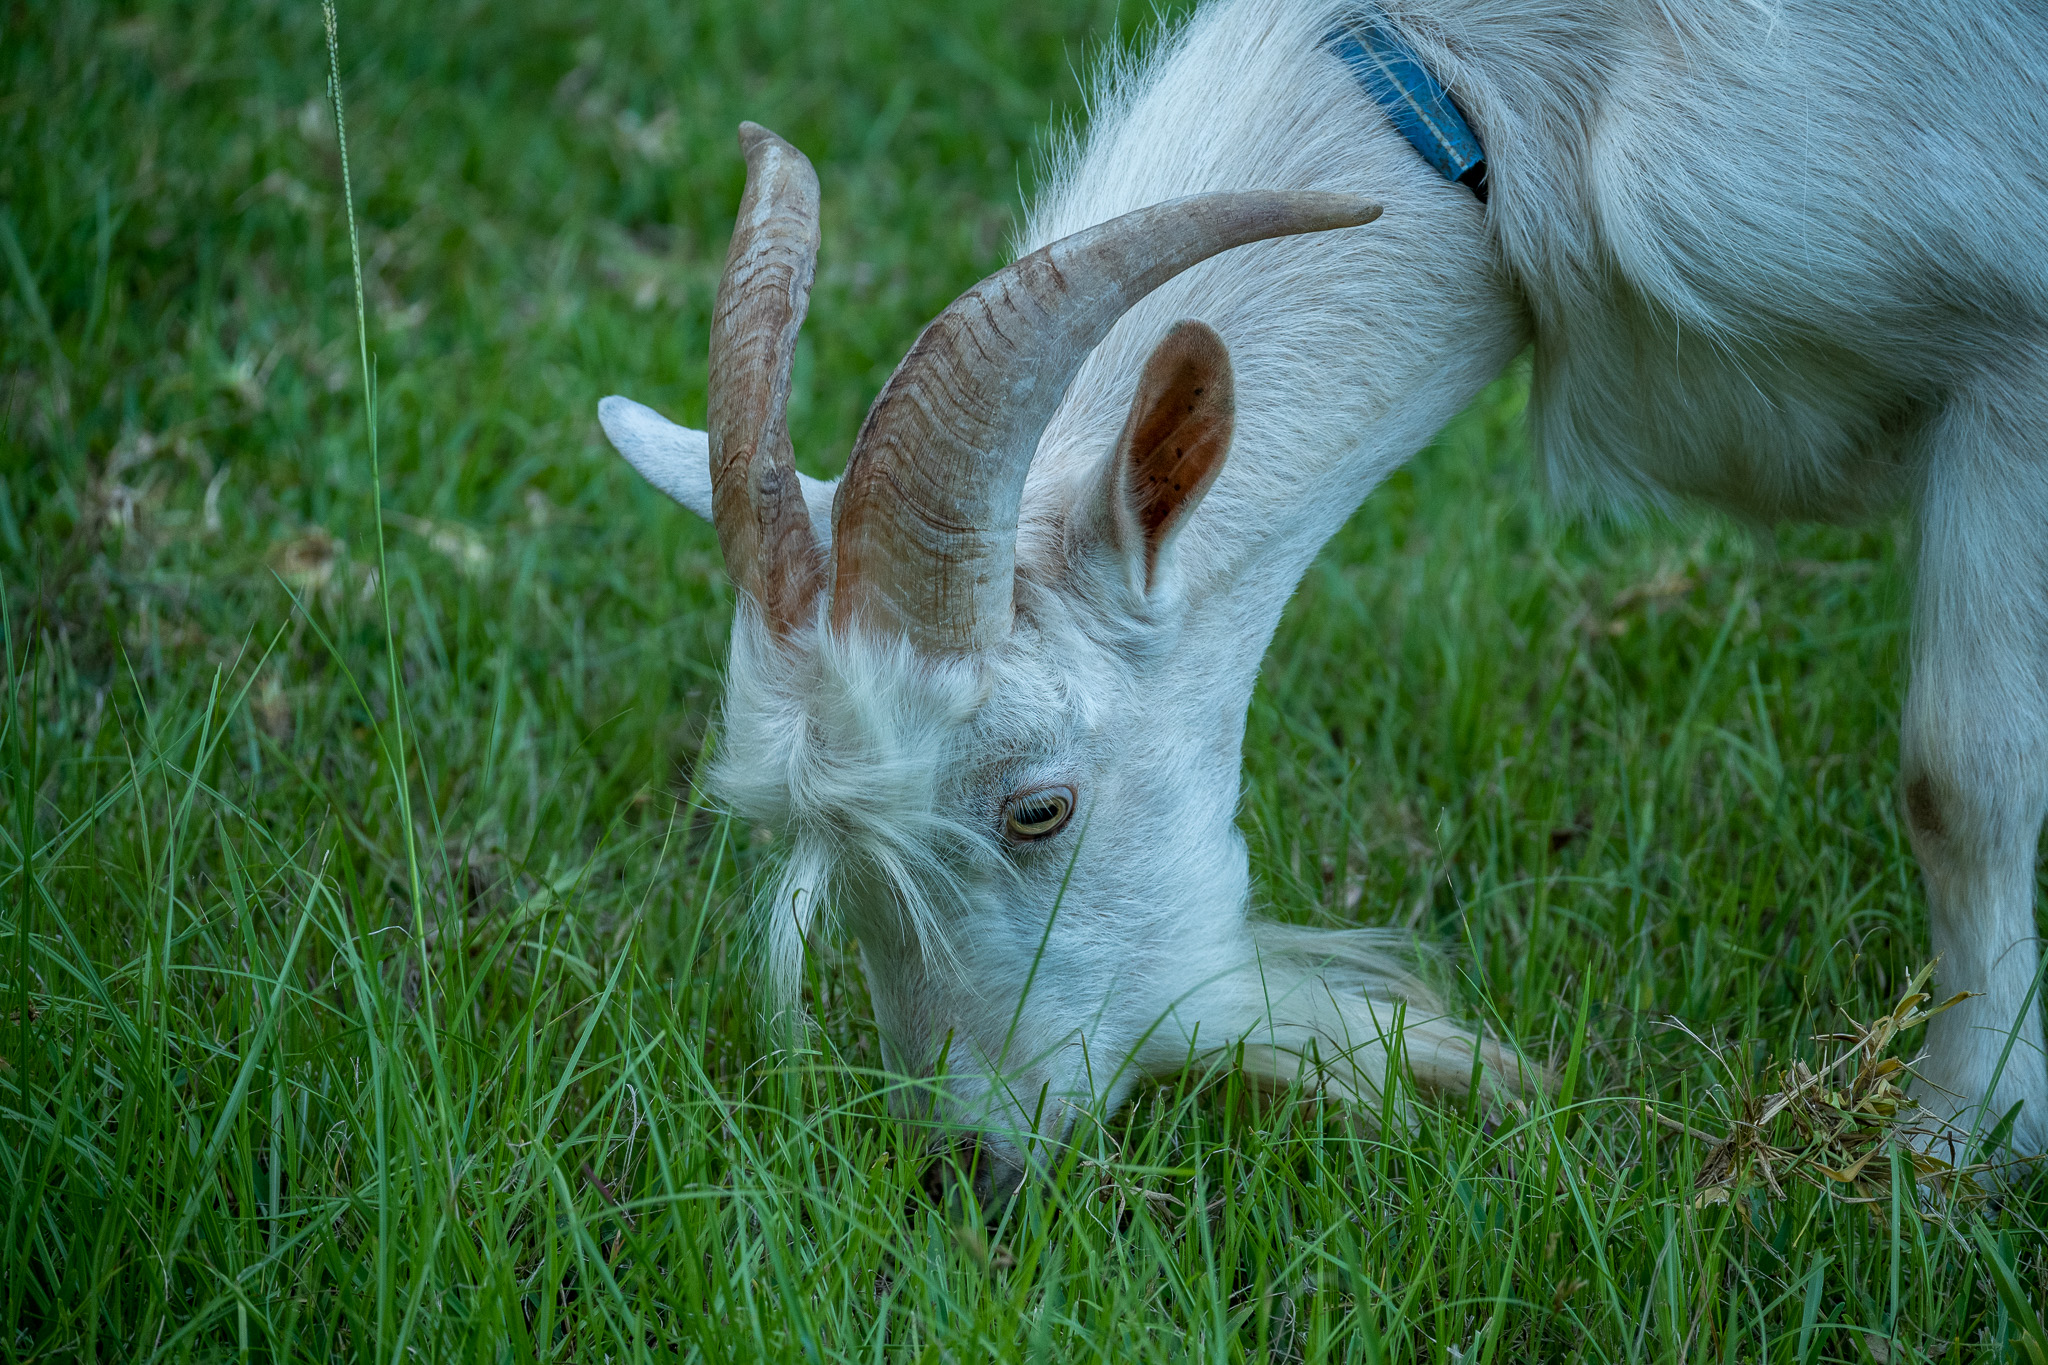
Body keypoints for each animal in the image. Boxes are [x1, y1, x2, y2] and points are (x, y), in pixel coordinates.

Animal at [600, 0, 2048, 1200]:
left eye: (1037, 808)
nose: (966, 1170)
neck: (1498, 86)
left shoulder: (2011, 361)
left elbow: (1957, 775)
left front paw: (1955, 1144)